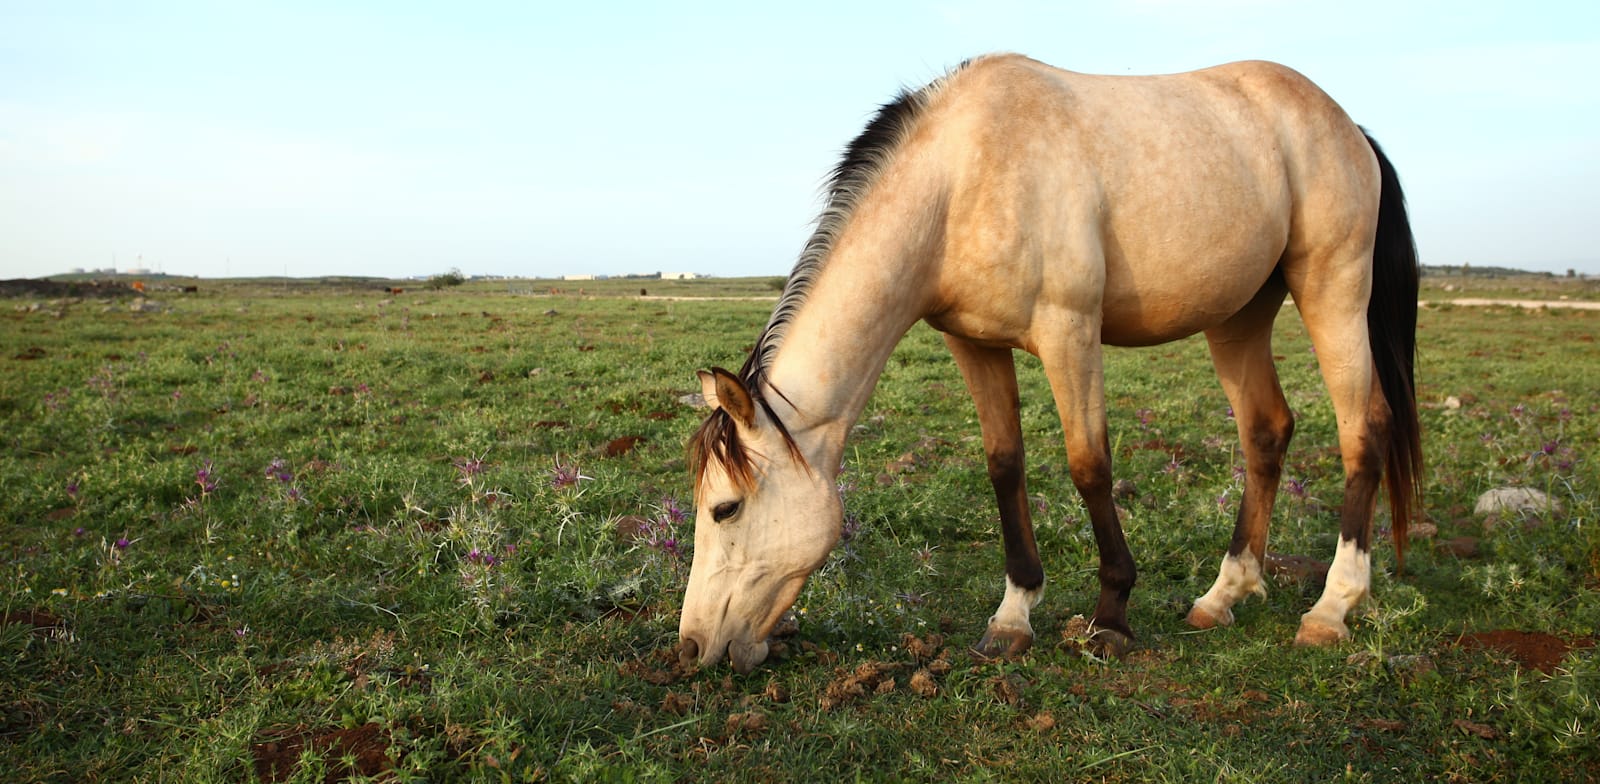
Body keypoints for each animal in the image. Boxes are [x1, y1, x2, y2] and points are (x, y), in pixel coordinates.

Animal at [681, 53, 1420, 675]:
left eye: (725, 509)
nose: (691, 646)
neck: (961, 178)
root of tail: (1348, 127)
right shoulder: (973, 344)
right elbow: (1005, 467)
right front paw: (1012, 618)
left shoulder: (1070, 331)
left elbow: (1089, 464)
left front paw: (1111, 617)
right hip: (1239, 316)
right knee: (1266, 432)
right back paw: (1224, 595)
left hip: (1333, 290)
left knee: (1364, 431)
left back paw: (1332, 608)